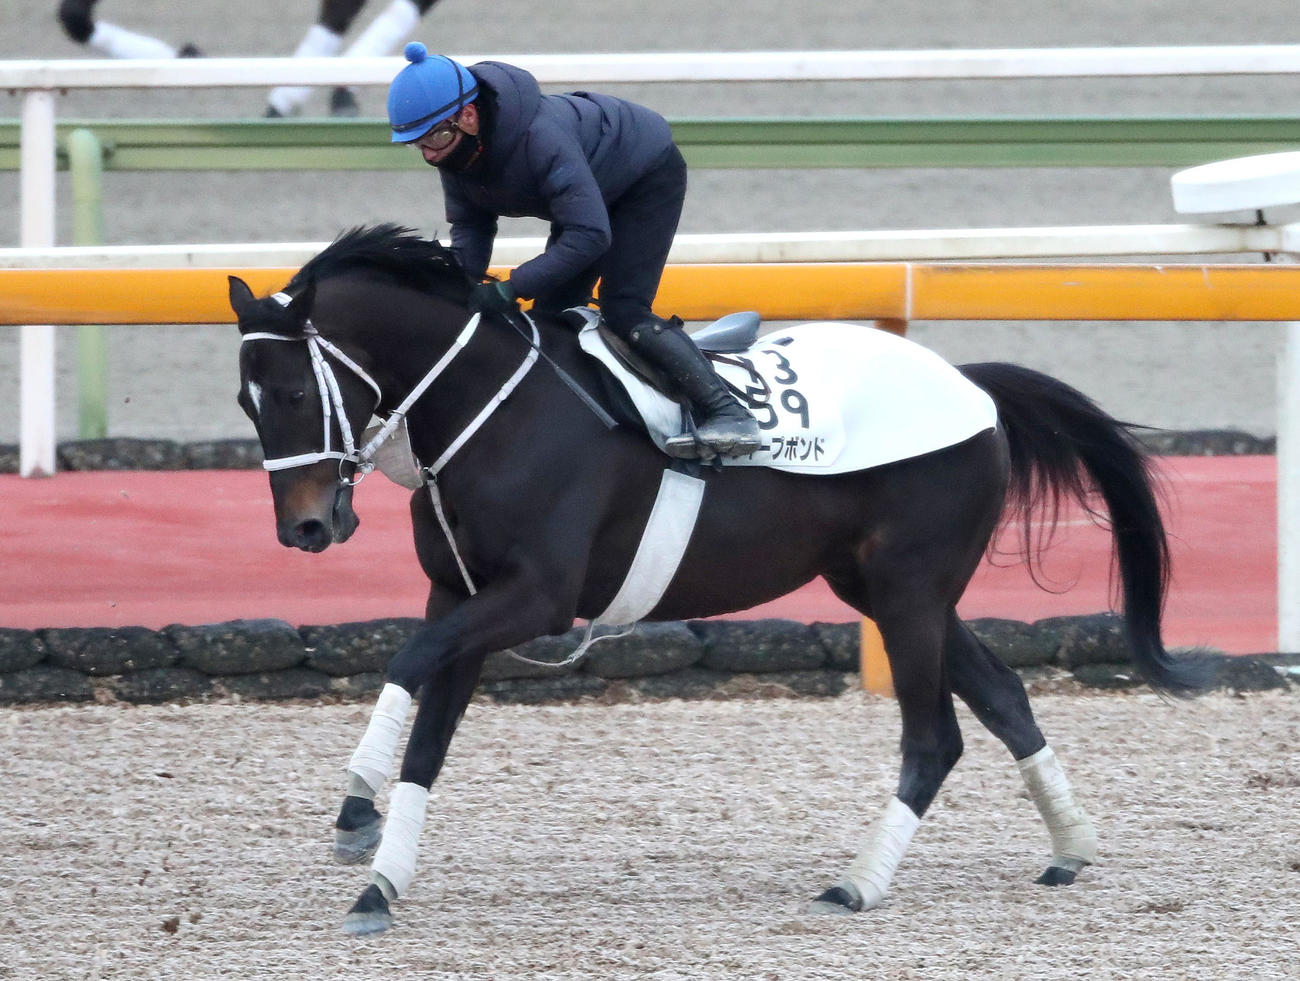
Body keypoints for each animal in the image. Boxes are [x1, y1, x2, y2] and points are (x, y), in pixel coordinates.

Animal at [229, 224, 1209, 936]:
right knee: (1004, 694)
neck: (494, 409)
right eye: (246, 400)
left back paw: (857, 883)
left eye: (291, 392)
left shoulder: (534, 599)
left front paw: (355, 806)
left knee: (934, 739)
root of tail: (974, 390)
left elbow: (404, 661)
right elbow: (430, 735)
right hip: (890, 590)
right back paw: (1071, 845)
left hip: (909, 593)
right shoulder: (461, 595)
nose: (304, 527)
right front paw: (382, 878)